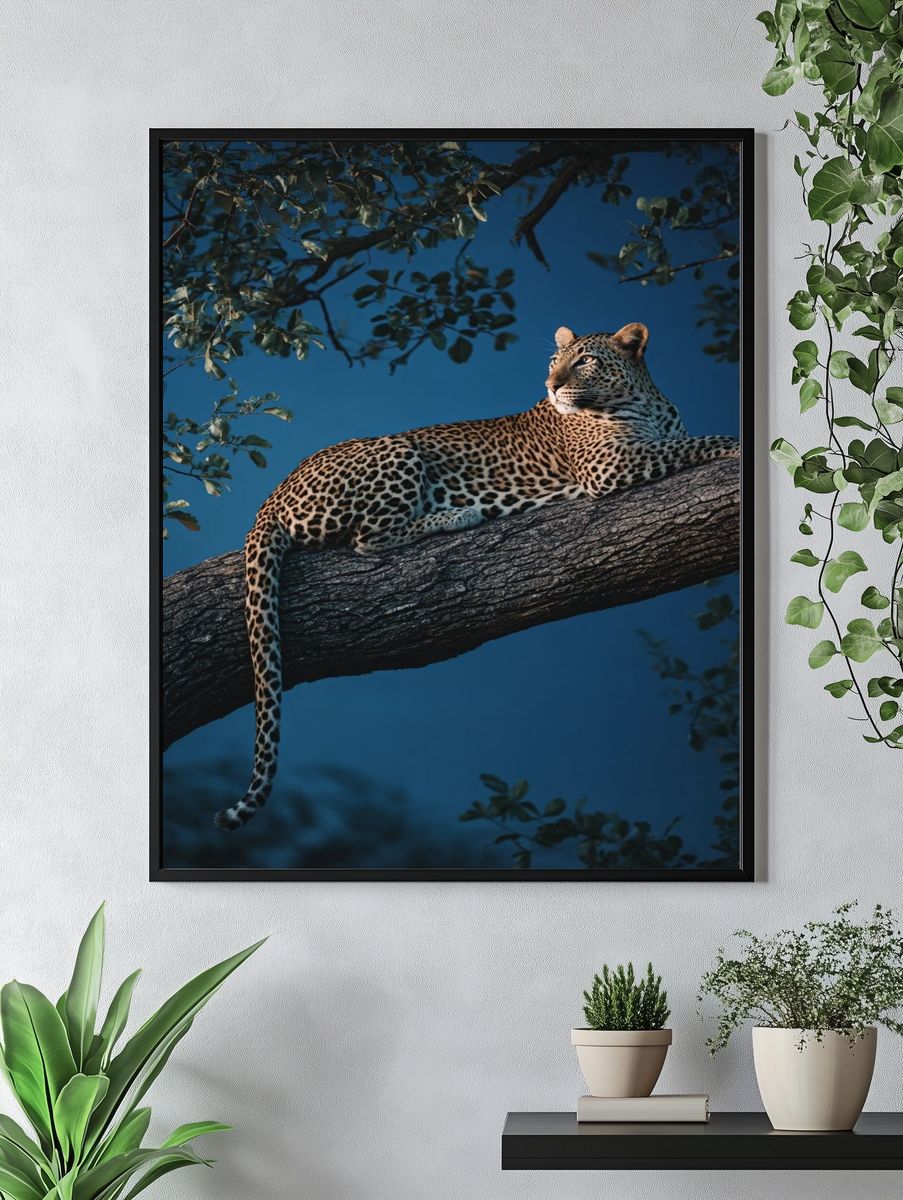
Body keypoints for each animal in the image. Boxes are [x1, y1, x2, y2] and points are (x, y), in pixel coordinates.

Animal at [214, 320, 739, 831]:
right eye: (555, 361)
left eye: (585, 361)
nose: (551, 386)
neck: (642, 401)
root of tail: (272, 496)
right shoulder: (610, 466)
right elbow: (692, 444)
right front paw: (733, 447)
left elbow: (683, 440)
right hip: (396, 450)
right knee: (367, 538)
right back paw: (459, 515)